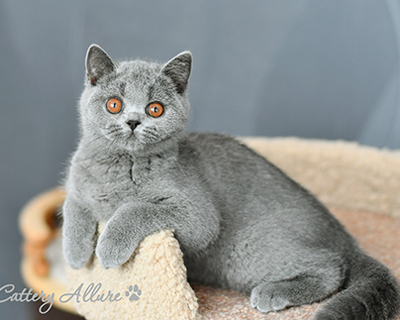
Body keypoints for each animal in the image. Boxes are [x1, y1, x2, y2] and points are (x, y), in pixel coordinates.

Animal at [62, 43, 400, 318]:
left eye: (154, 109)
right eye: (114, 104)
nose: (133, 121)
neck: (119, 168)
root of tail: (341, 235)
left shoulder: (199, 216)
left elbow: (135, 209)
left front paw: (108, 248)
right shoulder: (77, 187)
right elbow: (72, 208)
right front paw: (76, 255)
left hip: (250, 251)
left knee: (333, 266)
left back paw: (272, 292)